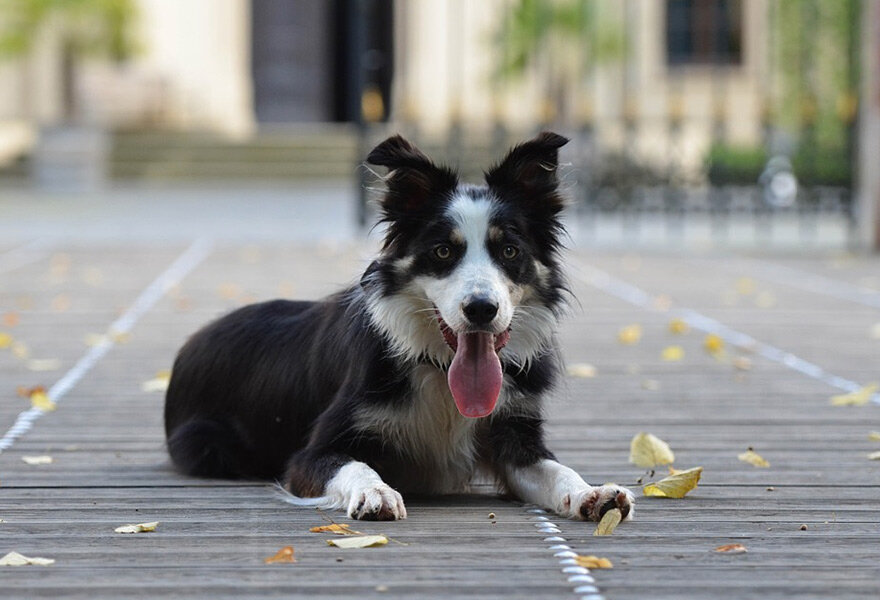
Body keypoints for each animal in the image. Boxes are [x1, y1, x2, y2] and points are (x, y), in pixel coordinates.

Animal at [165, 131, 632, 520]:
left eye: (510, 250)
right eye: (443, 251)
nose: (481, 309)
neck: (440, 372)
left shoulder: (516, 434)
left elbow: (556, 469)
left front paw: (593, 492)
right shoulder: (312, 454)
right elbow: (355, 465)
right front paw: (375, 493)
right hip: (206, 443)